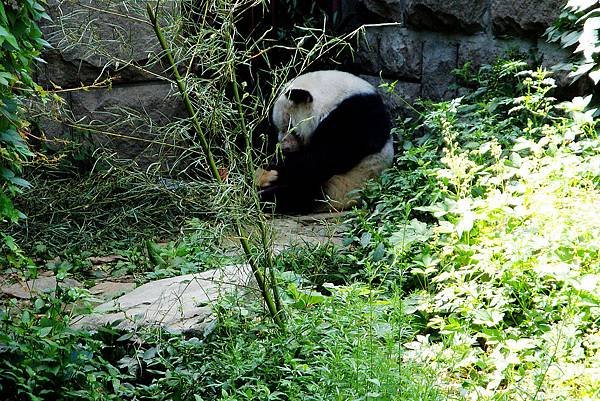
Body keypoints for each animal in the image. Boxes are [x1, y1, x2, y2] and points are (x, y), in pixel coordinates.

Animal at [256, 69, 394, 212]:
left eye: (292, 130)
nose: (285, 149)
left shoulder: (357, 116)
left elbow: (326, 157)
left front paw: (271, 174)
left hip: (341, 187)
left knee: (298, 192)